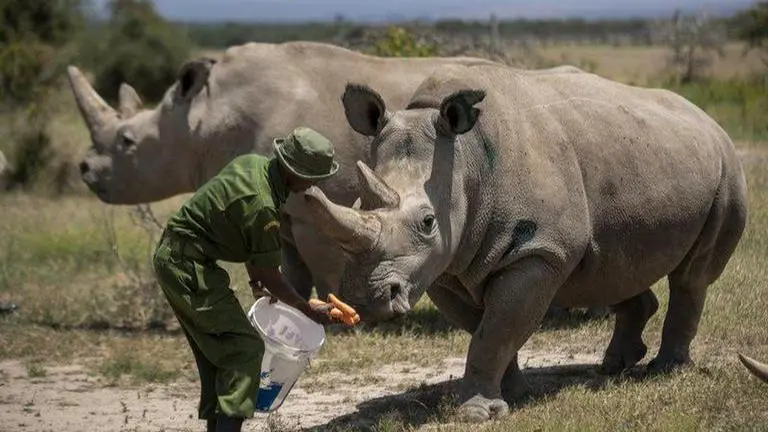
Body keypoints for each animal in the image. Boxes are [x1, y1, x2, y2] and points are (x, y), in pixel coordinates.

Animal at [67, 41, 498, 299]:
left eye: (126, 142)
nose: (85, 169)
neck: (201, 119)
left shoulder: (316, 210)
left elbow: (323, 265)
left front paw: (342, 312)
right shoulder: (286, 211)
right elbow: (290, 267)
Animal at [293, 63, 749, 420]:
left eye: (427, 222)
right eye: (357, 203)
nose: (365, 299)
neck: (466, 161)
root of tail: (705, 117)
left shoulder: (539, 250)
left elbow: (496, 329)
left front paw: (475, 414)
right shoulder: (446, 266)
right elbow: (487, 328)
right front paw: (510, 396)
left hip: (727, 167)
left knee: (692, 276)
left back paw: (665, 370)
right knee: (612, 265)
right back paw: (614, 366)